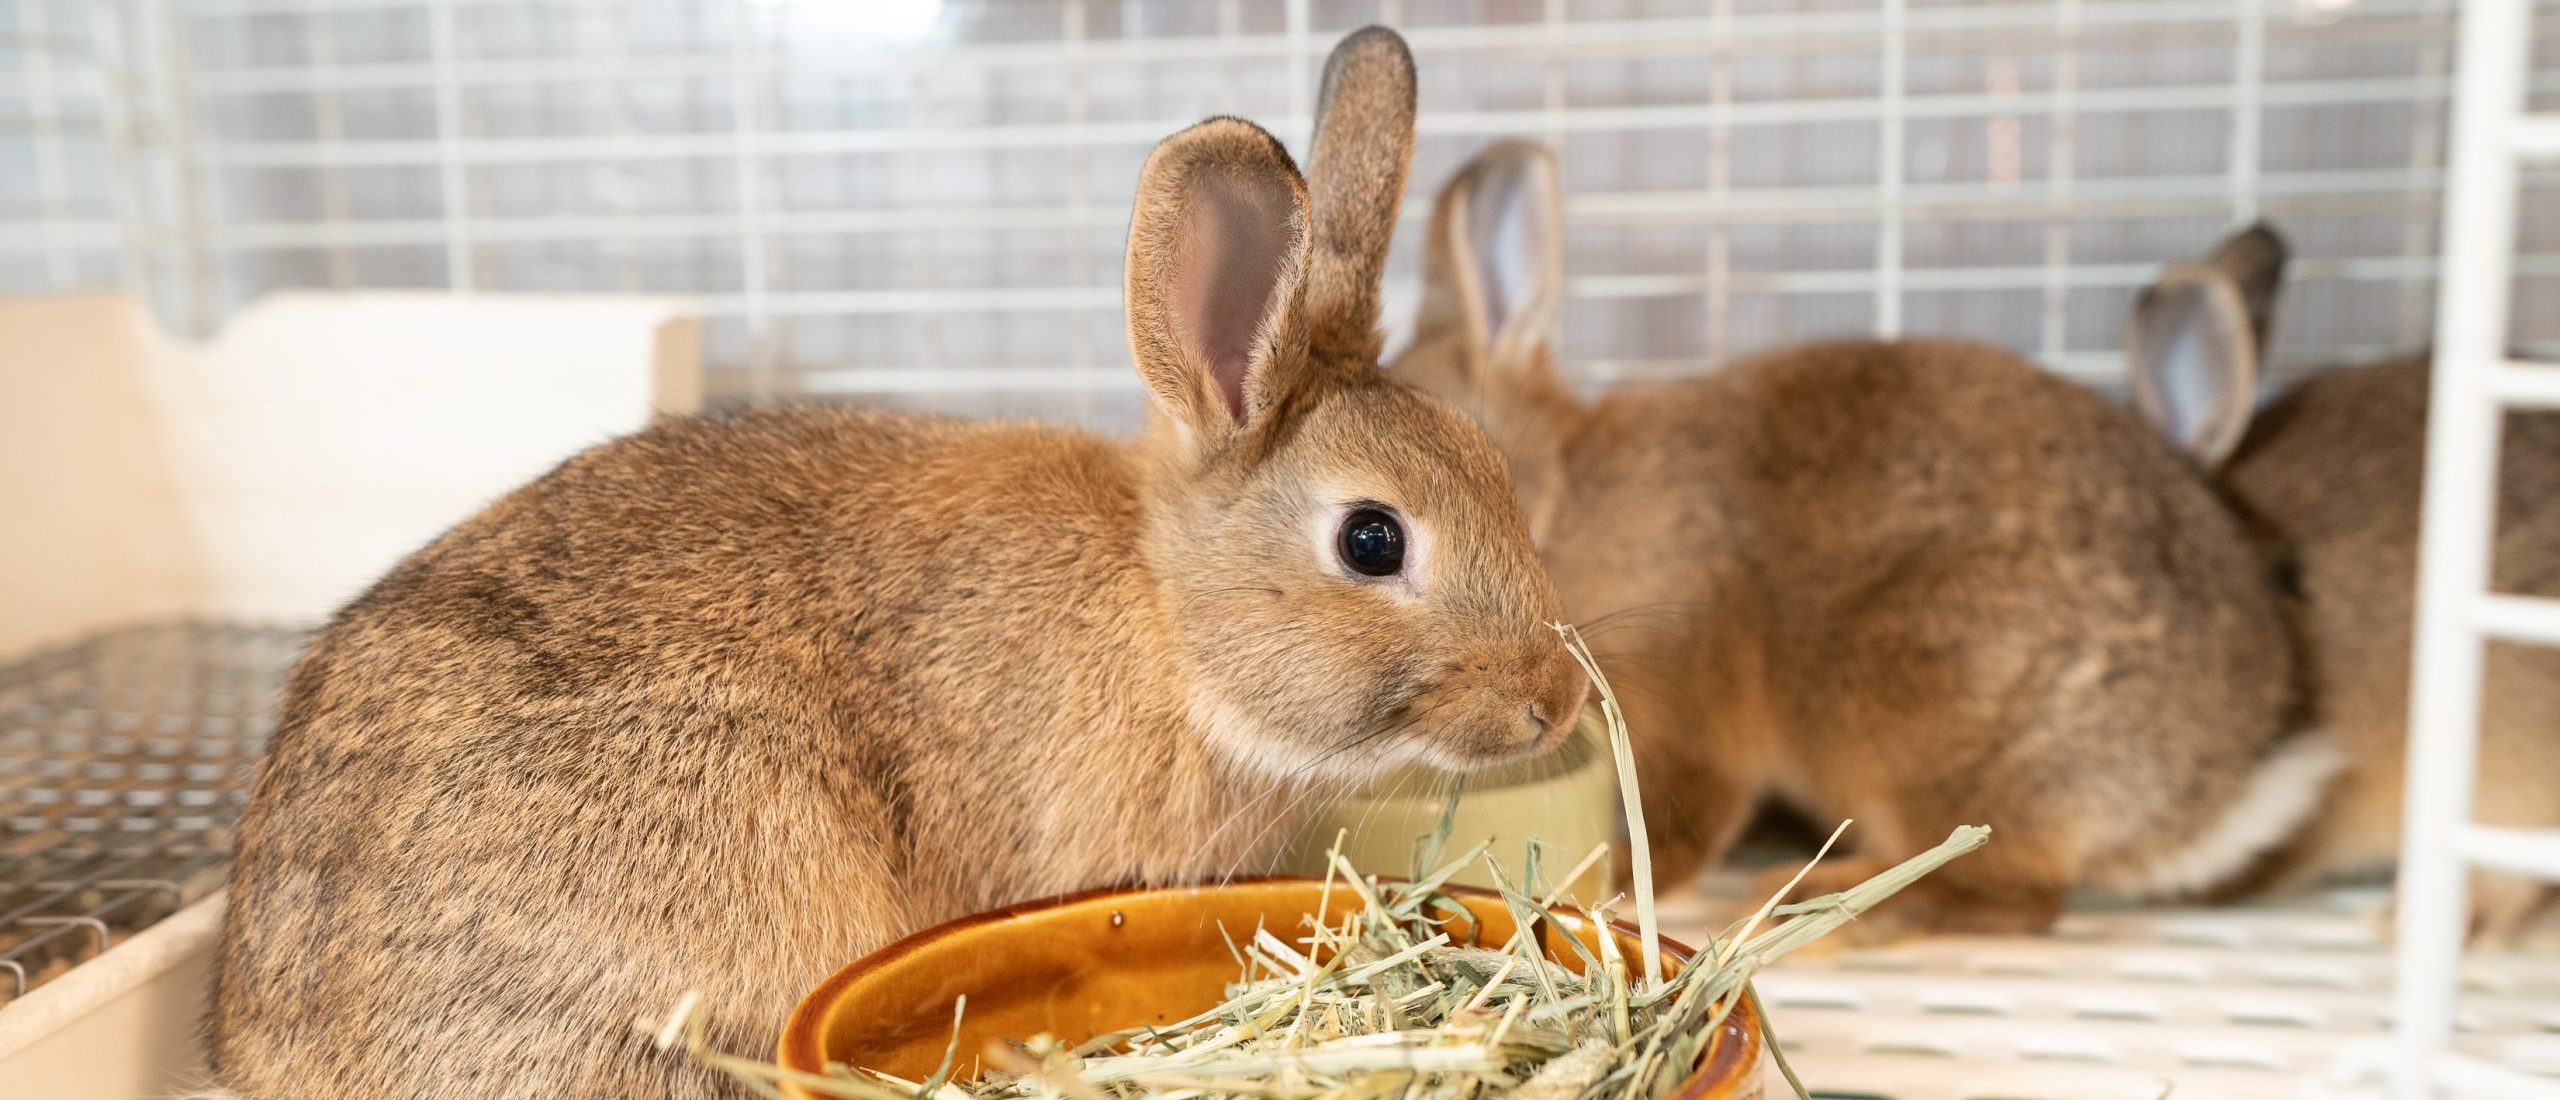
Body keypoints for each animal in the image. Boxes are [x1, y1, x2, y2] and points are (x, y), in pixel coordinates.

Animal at [1392, 141, 2334, 941]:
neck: (1562, 499)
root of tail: (2213, 784)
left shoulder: (1687, 698)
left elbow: (1680, 823)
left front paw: (1626, 878)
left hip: (1920, 736)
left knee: (2013, 895)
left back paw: (1813, 903)